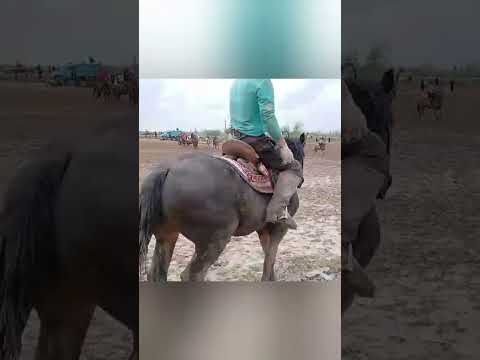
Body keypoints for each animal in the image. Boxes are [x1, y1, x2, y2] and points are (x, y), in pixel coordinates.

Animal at [139, 134, 306, 282]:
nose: (301, 182)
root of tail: (167, 170)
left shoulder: (263, 228)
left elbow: (268, 255)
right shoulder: (279, 228)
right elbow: (271, 256)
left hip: (167, 236)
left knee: (156, 274)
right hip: (214, 241)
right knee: (192, 275)